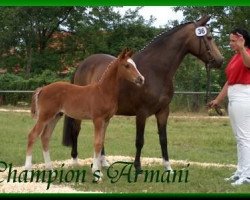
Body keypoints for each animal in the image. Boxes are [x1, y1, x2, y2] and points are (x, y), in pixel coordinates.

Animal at [61, 15, 224, 173]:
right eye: (209, 37)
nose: (220, 60)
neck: (155, 70)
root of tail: (81, 65)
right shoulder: (141, 112)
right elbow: (140, 140)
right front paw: (138, 167)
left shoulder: (163, 111)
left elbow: (163, 139)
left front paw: (168, 167)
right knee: (76, 130)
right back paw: (75, 161)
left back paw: (104, 162)